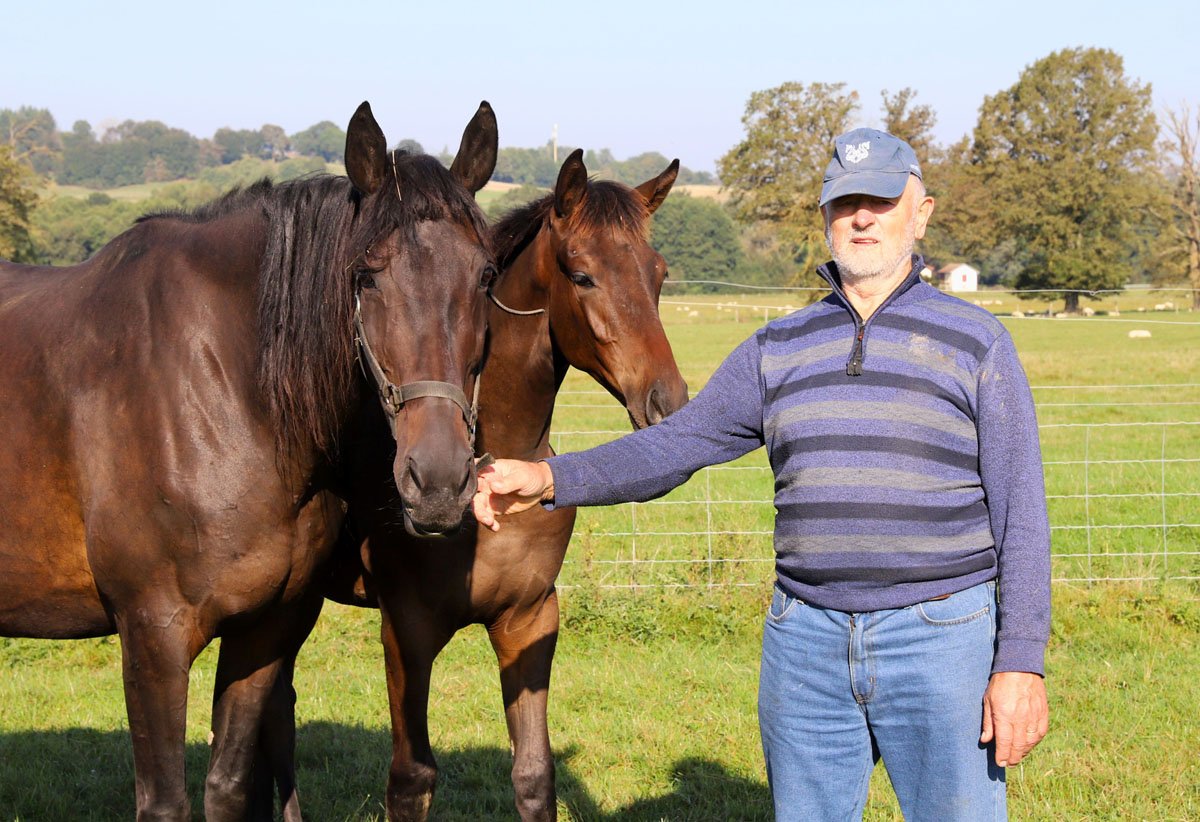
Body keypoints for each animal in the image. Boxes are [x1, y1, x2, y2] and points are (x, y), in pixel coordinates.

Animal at [0, 100, 498, 821]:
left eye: (486, 275)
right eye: (365, 275)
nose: (436, 482)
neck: (223, 387)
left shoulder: (266, 630)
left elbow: (231, 785)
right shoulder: (152, 637)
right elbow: (165, 802)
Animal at [308, 148, 689, 821]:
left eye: (659, 274)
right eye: (581, 275)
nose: (666, 404)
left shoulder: (529, 621)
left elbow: (534, 773)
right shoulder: (406, 630)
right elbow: (411, 777)